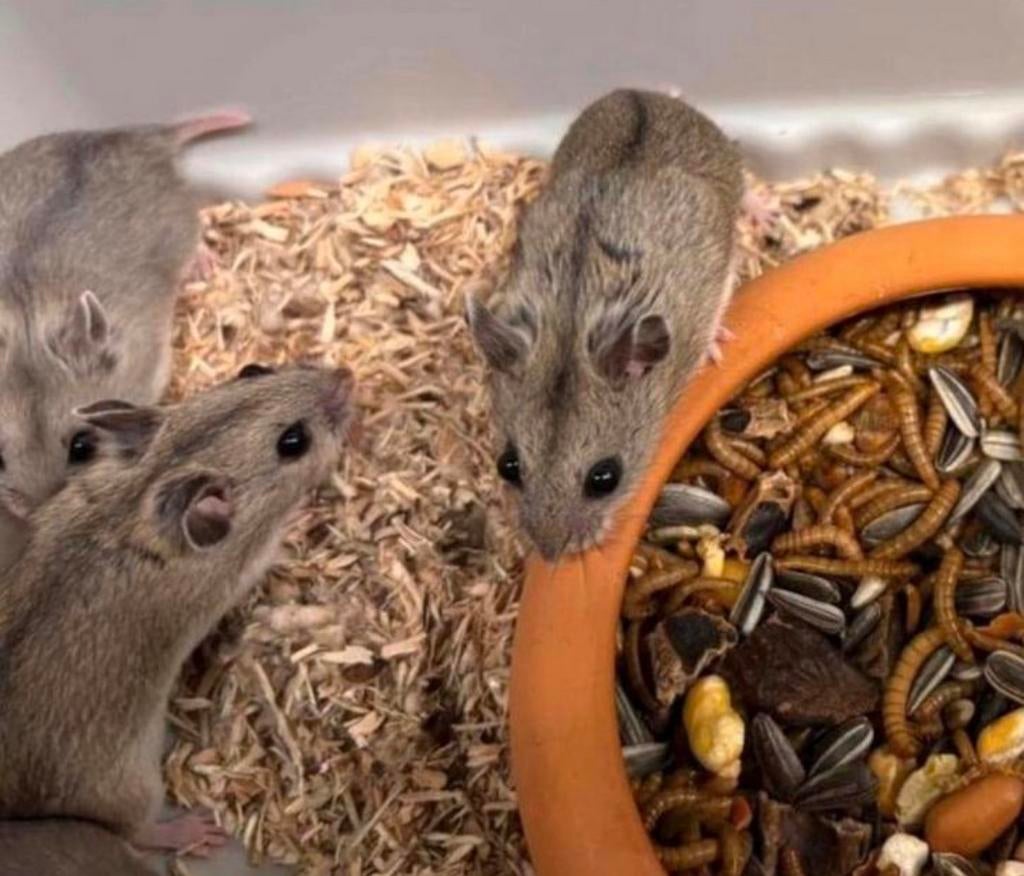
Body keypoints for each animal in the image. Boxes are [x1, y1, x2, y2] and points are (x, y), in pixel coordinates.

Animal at [0, 363, 354, 856]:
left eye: (253, 370)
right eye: (293, 441)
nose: (348, 375)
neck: (145, 487)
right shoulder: (241, 568)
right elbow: (274, 547)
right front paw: (301, 517)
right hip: (131, 787)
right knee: (134, 831)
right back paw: (197, 832)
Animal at [466, 89, 743, 560]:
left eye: (605, 478)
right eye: (508, 466)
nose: (551, 555)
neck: (572, 326)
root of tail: (644, 94)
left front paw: (718, 348)